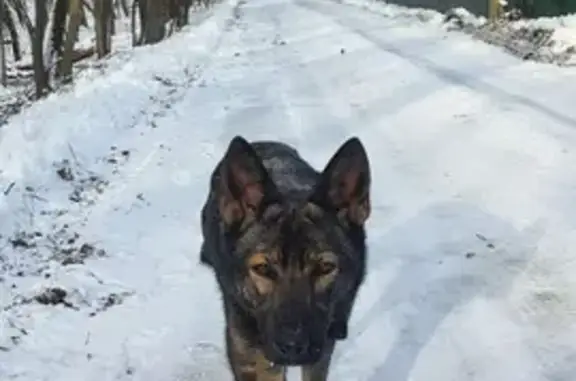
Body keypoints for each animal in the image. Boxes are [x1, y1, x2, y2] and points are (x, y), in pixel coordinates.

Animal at [200, 135, 372, 378]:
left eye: (325, 268)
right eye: (262, 268)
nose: (293, 346)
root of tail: (263, 141)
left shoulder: (320, 353)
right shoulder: (250, 358)